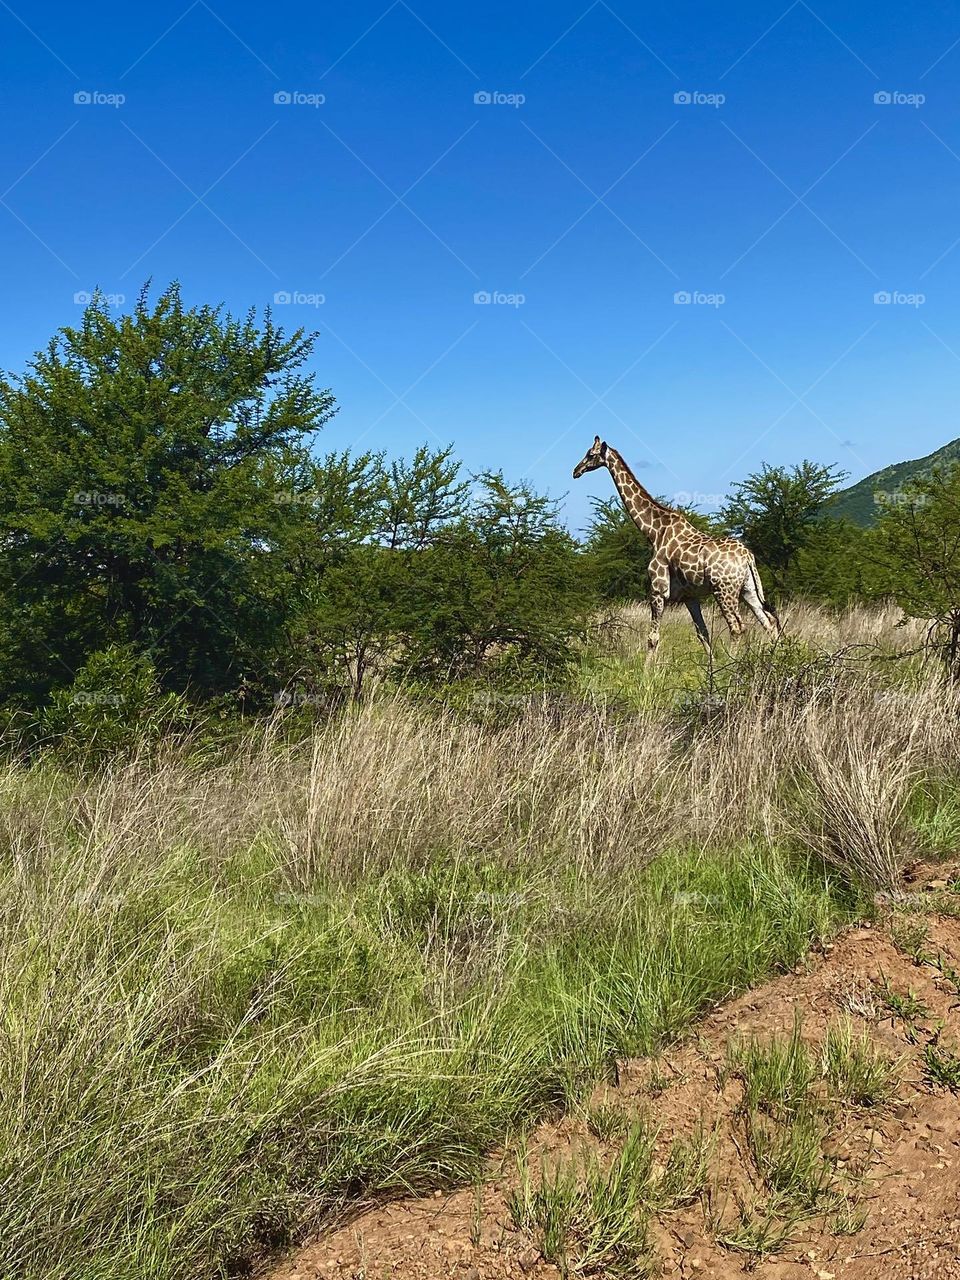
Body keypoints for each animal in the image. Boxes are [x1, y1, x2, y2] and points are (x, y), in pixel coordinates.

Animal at [576, 440, 778, 660]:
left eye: (590, 454)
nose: (576, 471)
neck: (654, 531)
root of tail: (748, 556)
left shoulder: (657, 590)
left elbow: (653, 638)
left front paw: (647, 670)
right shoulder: (690, 596)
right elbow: (702, 633)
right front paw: (711, 666)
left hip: (724, 590)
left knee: (737, 627)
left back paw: (733, 665)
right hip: (747, 589)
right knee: (769, 621)